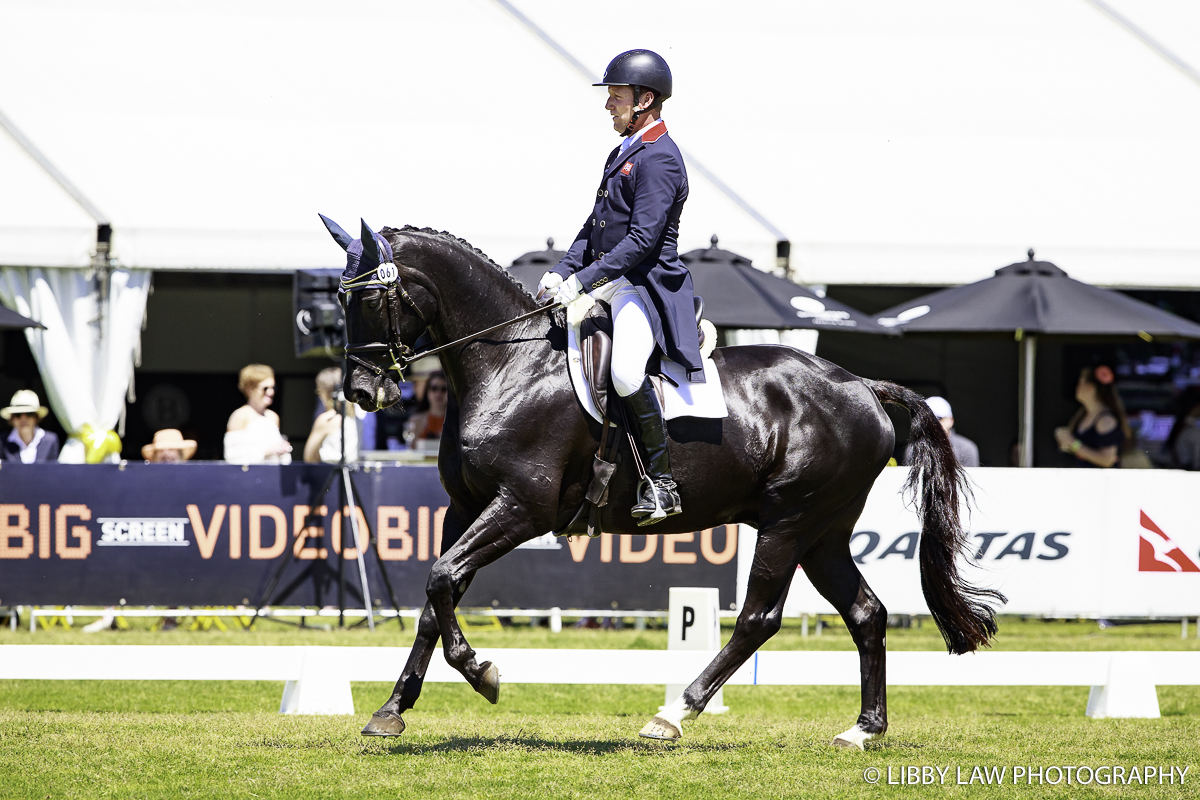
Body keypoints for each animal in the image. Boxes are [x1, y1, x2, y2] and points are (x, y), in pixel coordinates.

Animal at [331, 221, 1003, 748]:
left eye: (371, 300)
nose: (361, 393)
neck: (510, 364)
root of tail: (862, 385)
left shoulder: (522, 508)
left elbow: (442, 578)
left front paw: (482, 673)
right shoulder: (463, 506)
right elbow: (434, 595)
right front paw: (392, 710)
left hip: (790, 522)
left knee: (758, 617)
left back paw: (673, 714)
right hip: (824, 534)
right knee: (866, 613)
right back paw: (863, 729)